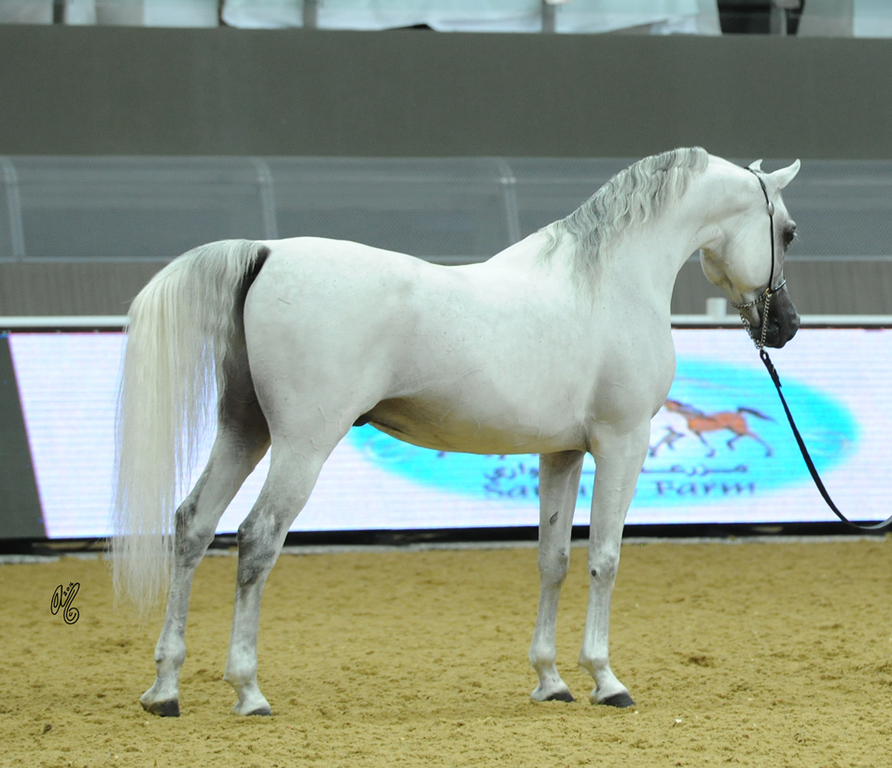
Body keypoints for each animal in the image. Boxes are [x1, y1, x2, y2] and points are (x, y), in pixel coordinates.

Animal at [112, 147, 801, 716]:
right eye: (788, 232)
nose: (787, 327)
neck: (608, 285)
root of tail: (268, 252)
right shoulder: (622, 444)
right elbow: (604, 558)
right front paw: (606, 680)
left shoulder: (561, 453)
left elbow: (553, 559)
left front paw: (551, 681)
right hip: (302, 445)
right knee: (257, 539)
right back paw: (249, 690)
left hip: (243, 430)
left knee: (193, 525)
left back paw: (164, 689)